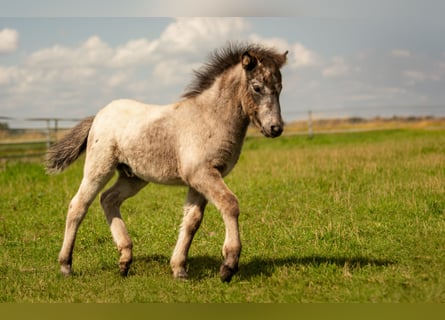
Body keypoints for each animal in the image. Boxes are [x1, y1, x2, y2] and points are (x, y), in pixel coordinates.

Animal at [46, 43, 286, 282]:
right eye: (257, 87)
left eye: (280, 88)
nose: (275, 128)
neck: (210, 118)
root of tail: (99, 115)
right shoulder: (202, 174)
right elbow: (230, 204)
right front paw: (228, 265)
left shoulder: (199, 179)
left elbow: (192, 220)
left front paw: (179, 268)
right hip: (99, 167)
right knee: (78, 205)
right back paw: (66, 265)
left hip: (133, 176)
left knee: (108, 199)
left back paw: (125, 259)